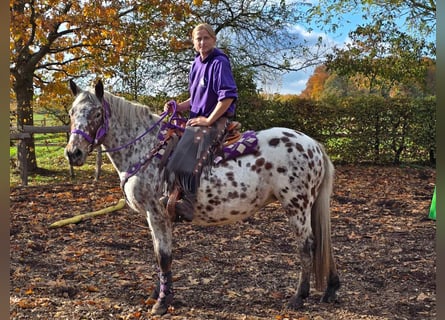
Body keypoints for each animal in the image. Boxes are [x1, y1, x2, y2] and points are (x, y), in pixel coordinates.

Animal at [64, 79, 338, 316]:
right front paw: (158, 293)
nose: (73, 153)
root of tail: (314, 145)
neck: (146, 149)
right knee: (323, 242)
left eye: (96, 114)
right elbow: (158, 254)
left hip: (296, 206)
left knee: (307, 245)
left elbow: (163, 256)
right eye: (71, 112)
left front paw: (162, 302)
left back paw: (298, 297)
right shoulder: (154, 218)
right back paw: (331, 289)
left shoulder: (157, 214)